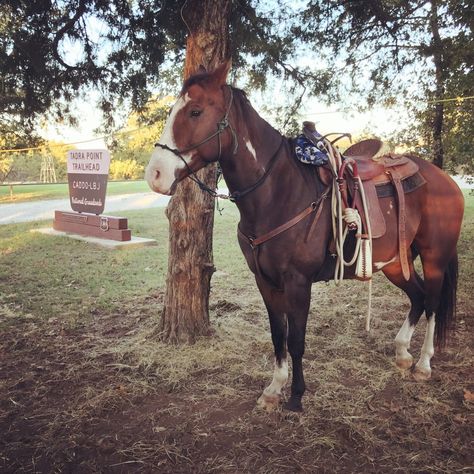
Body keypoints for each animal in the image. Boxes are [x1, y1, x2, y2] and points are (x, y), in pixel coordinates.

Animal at [144, 63, 462, 412]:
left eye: (196, 111)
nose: (155, 174)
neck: (279, 193)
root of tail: (445, 179)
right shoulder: (266, 281)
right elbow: (277, 335)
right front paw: (274, 388)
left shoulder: (298, 282)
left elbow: (296, 339)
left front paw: (296, 395)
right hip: (393, 262)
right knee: (417, 296)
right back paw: (403, 352)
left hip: (434, 258)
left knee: (431, 302)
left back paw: (424, 364)